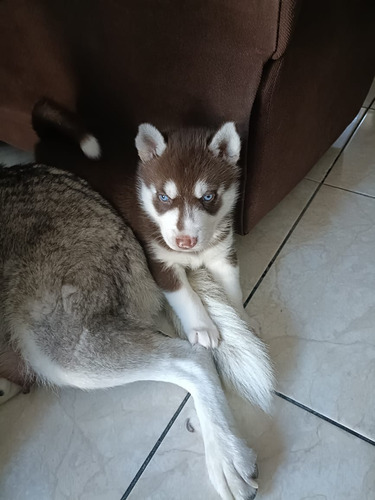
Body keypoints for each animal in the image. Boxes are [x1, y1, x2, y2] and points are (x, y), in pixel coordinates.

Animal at [0, 103, 274, 498]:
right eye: (164, 198)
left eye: (208, 197)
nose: (186, 242)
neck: (196, 254)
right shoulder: (159, 259)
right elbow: (186, 296)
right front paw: (203, 327)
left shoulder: (224, 254)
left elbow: (233, 292)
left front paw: (242, 323)